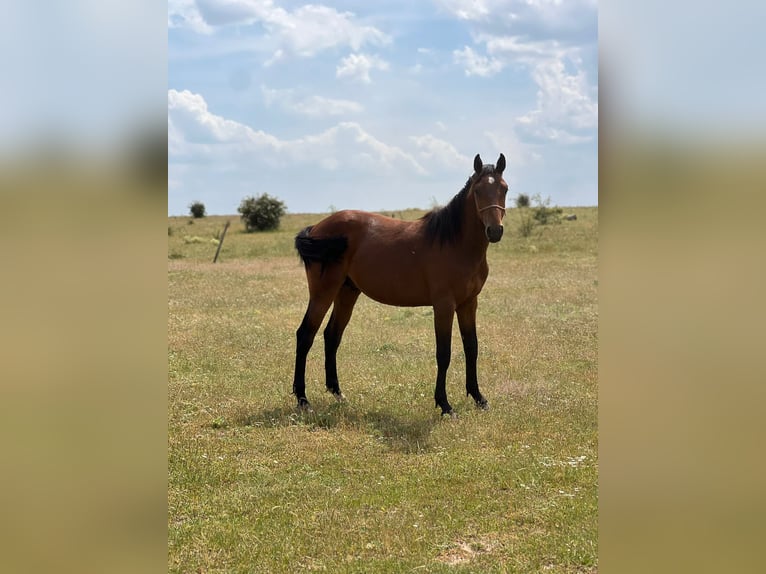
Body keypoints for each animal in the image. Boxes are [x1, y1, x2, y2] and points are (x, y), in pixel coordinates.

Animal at [292, 153, 508, 416]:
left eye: (504, 189)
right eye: (478, 191)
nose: (494, 231)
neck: (455, 243)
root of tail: (317, 228)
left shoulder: (469, 303)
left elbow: (471, 348)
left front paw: (479, 398)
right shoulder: (444, 305)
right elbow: (444, 353)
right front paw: (445, 404)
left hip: (347, 292)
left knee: (332, 335)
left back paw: (338, 393)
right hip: (323, 293)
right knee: (305, 335)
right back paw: (303, 399)